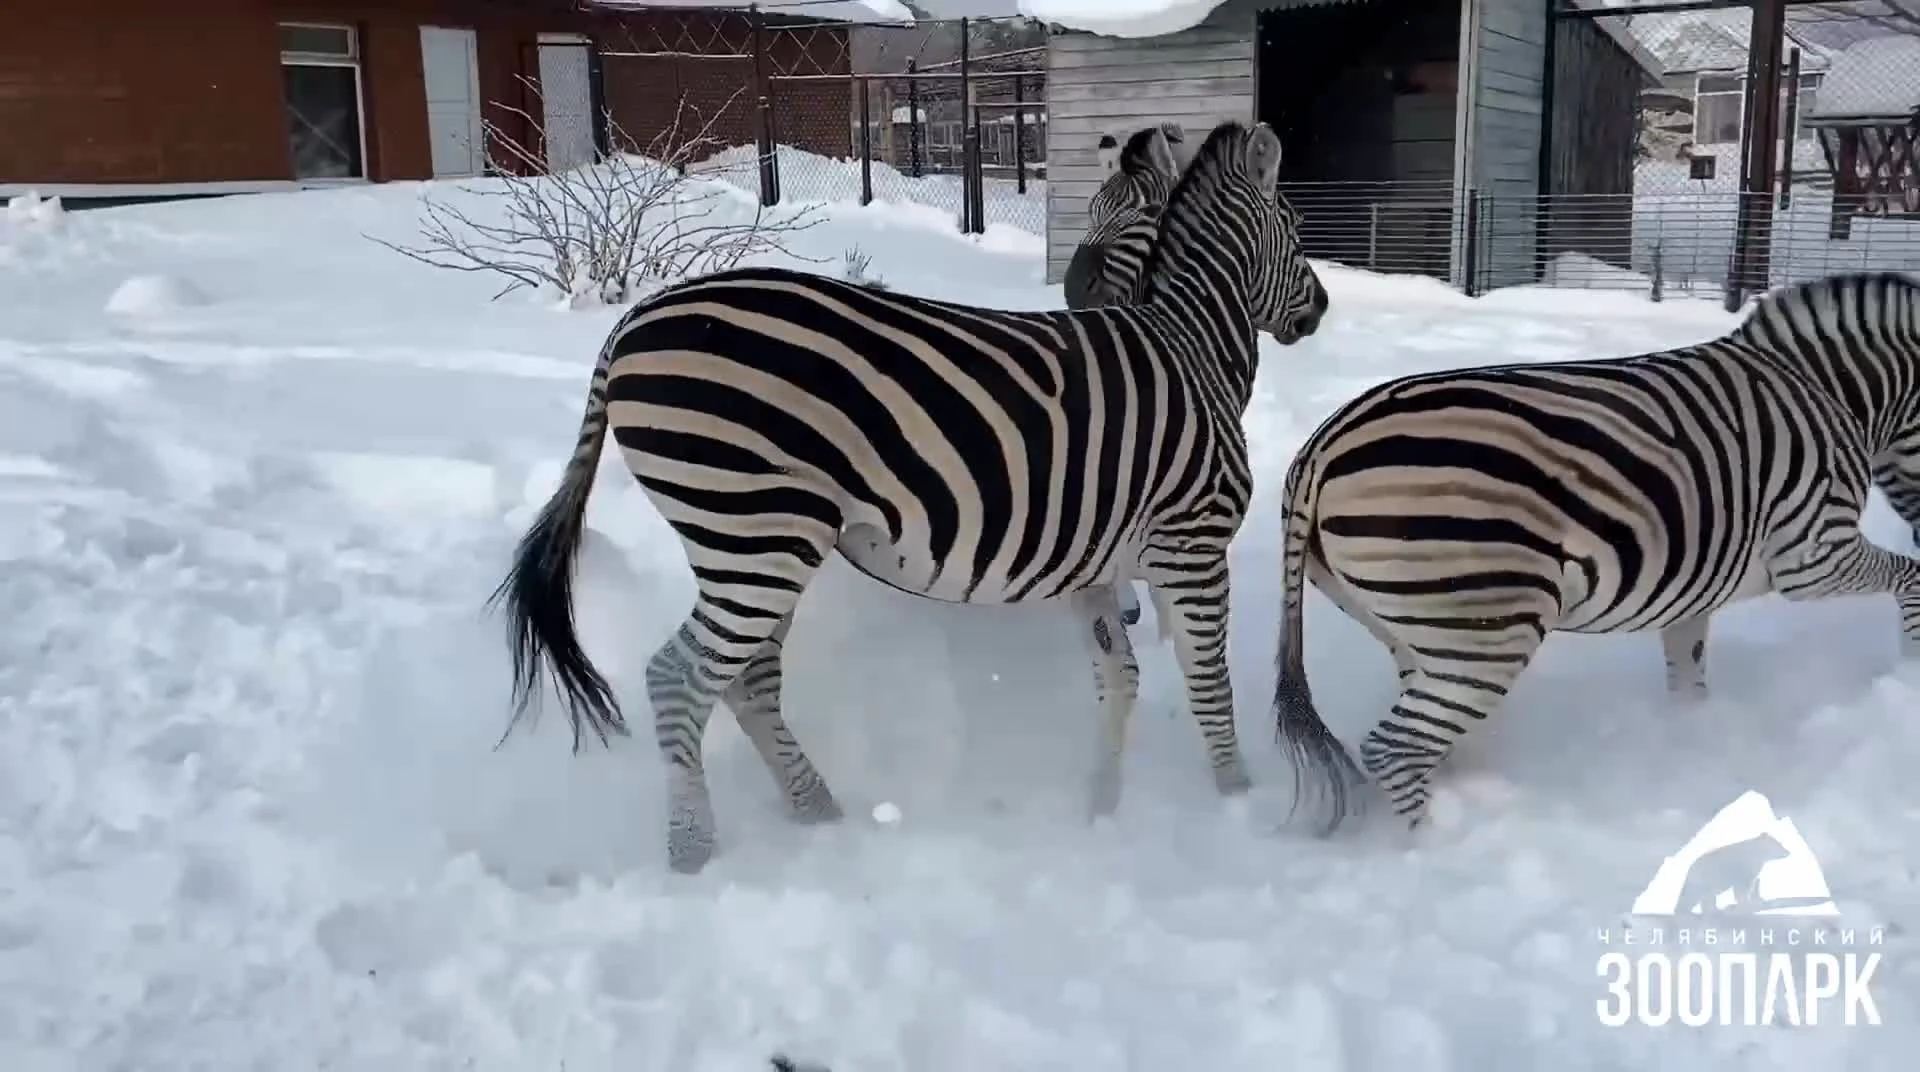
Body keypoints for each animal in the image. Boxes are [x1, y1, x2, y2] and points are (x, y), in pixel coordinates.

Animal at [495, 119, 1336, 876]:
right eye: (1297, 227)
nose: (1320, 308)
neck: (1192, 346)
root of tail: (630, 324)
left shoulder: (1096, 568)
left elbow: (1119, 683)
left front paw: (1102, 806)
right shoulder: (1193, 544)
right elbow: (1209, 683)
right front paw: (1235, 801)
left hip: (757, 542)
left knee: (749, 679)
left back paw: (816, 810)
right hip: (756, 533)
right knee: (679, 677)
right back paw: (693, 852)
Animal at [1274, 270, 1920, 841]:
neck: (1833, 393)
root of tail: (1319, 451)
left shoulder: (1697, 588)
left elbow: (1688, 677)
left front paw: (1691, 746)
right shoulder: (1813, 553)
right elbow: (1912, 578)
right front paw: (1912, 673)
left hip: (1419, 631)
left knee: (1426, 740)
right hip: (1489, 629)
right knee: (1395, 749)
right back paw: (1441, 849)